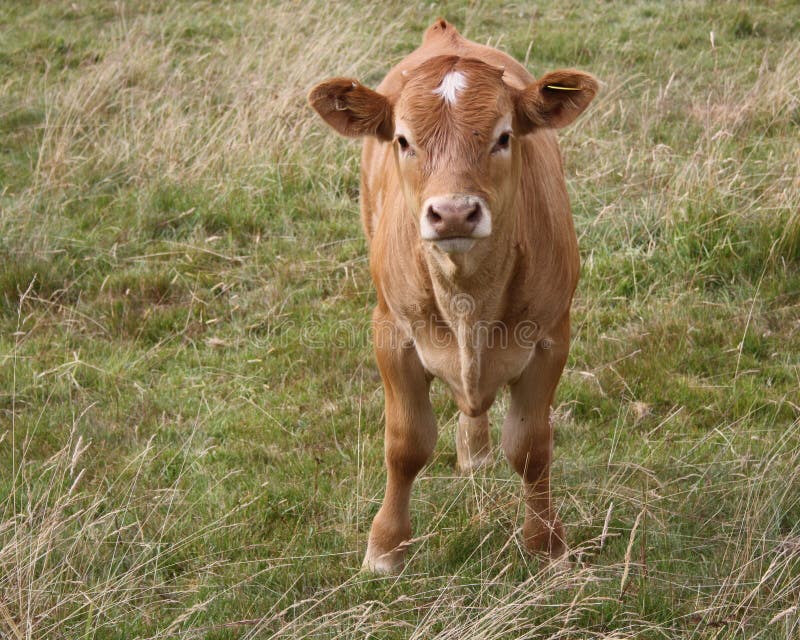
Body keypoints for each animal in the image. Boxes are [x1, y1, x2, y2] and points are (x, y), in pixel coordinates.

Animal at [310, 18, 596, 576]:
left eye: (503, 137)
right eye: (403, 140)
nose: (455, 213)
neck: (468, 299)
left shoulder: (551, 338)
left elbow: (531, 448)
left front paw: (545, 544)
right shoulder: (391, 334)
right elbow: (405, 446)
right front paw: (385, 547)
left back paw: (476, 450)